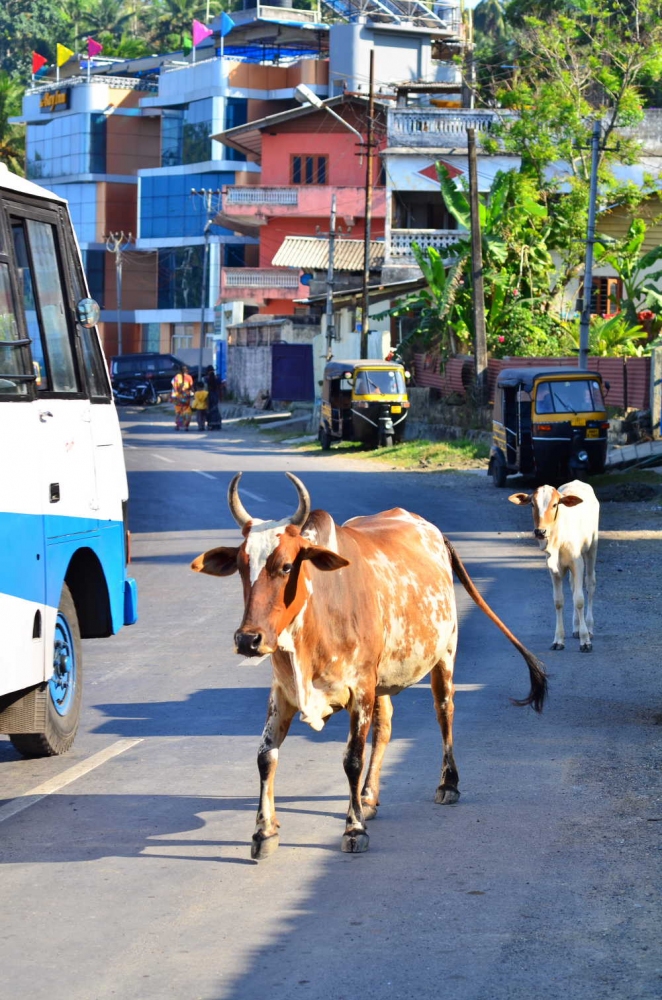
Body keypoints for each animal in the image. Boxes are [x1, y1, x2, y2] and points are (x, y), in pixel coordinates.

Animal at [193, 474, 548, 860]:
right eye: (242, 566)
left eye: (286, 566)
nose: (248, 639)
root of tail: (430, 528)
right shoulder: (283, 693)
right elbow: (265, 756)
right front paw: (263, 832)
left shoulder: (359, 690)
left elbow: (351, 759)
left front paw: (354, 828)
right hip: (382, 679)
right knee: (386, 726)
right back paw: (367, 796)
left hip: (444, 654)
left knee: (445, 711)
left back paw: (447, 784)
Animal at [508, 480, 600, 652]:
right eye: (532, 504)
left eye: (555, 504)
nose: (540, 531)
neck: (558, 540)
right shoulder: (553, 569)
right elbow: (558, 601)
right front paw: (558, 640)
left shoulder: (577, 563)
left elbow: (579, 599)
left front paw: (585, 641)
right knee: (572, 587)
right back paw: (576, 628)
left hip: (592, 549)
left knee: (590, 585)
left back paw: (589, 629)